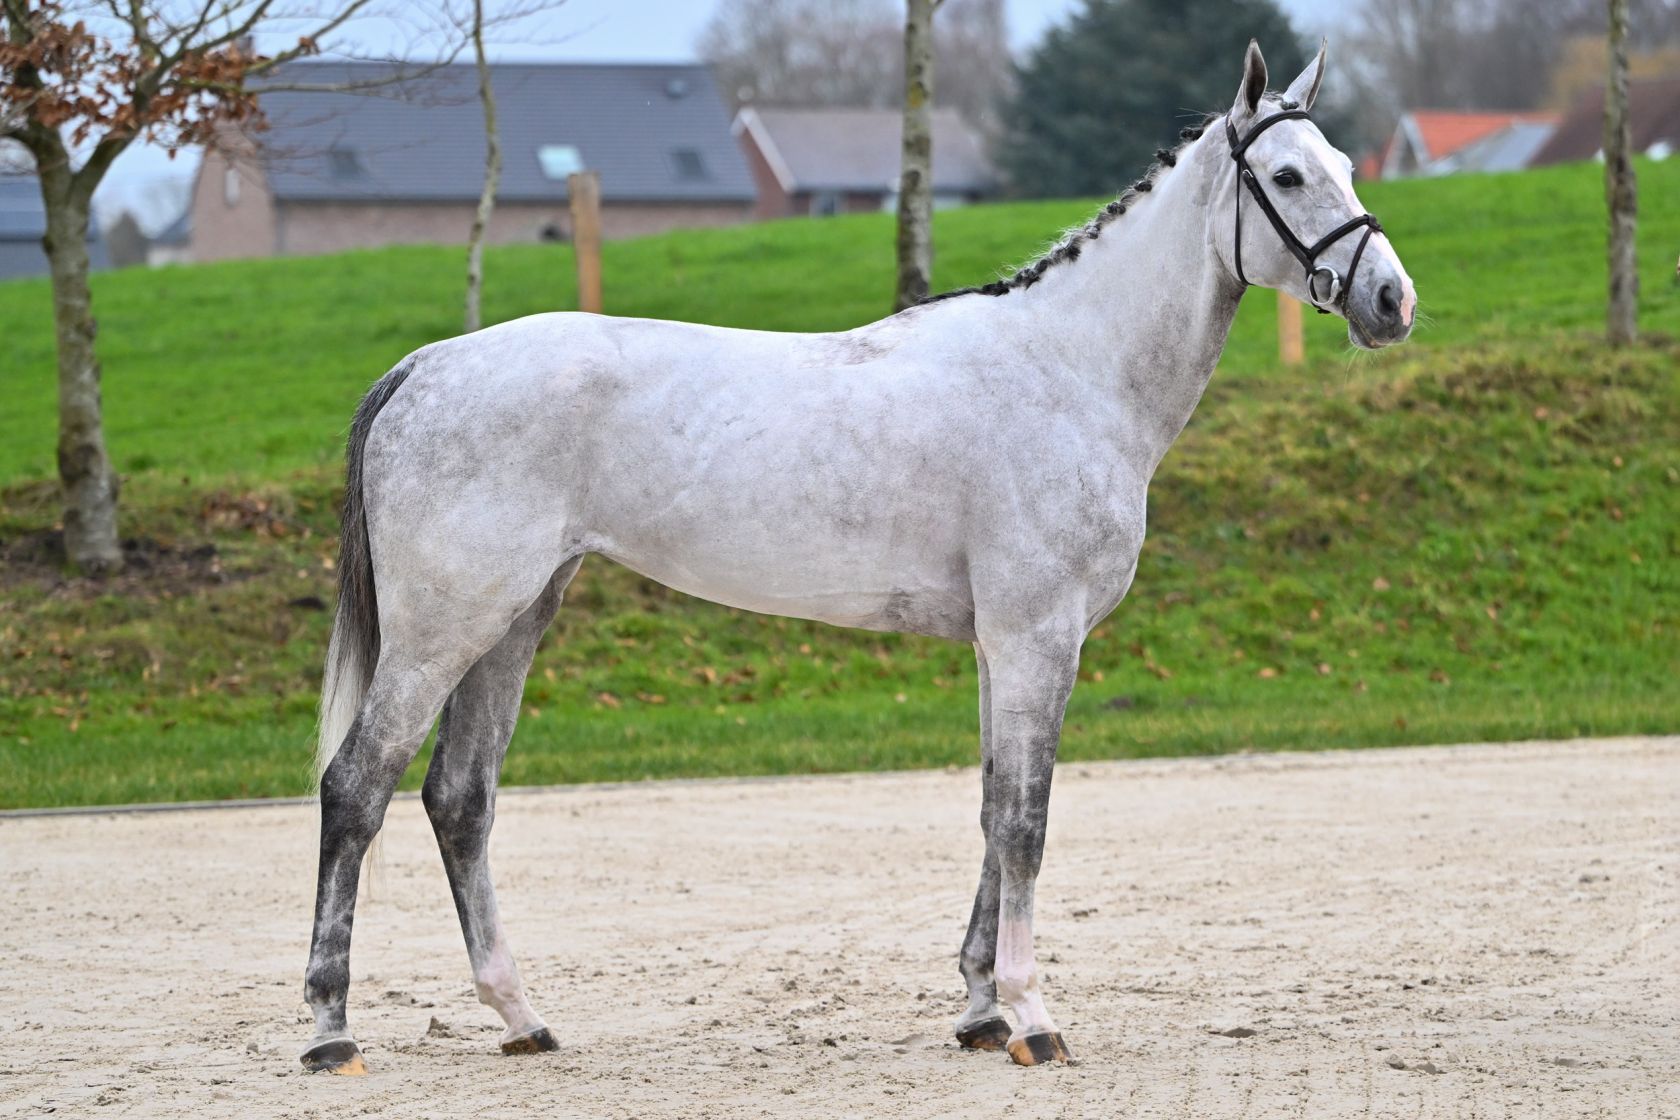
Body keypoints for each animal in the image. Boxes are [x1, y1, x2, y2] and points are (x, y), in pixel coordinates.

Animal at [300, 40, 1415, 1076]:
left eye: (1347, 164)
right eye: (1287, 177)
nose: (1391, 300)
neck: (1068, 371)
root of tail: (427, 366)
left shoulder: (999, 645)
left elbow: (990, 807)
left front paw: (980, 1011)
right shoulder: (1038, 638)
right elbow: (1026, 820)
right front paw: (1033, 1018)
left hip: (513, 619)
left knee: (461, 798)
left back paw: (521, 1016)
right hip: (444, 630)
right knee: (357, 785)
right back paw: (329, 1031)